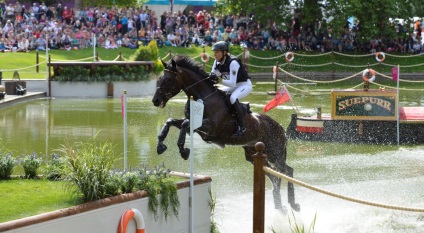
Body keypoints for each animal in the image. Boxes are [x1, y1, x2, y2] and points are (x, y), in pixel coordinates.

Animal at [151, 54, 300, 211]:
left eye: (169, 79)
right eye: (159, 79)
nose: (156, 100)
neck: (202, 97)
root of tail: (280, 128)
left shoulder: (211, 128)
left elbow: (185, 124)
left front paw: (183, 150)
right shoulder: (196, 126)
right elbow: (171, 121)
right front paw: (161, 146)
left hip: (275, 153)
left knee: (287, 171)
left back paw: (293, 204)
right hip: (253, 155)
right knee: (275, 176)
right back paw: (280, 207)